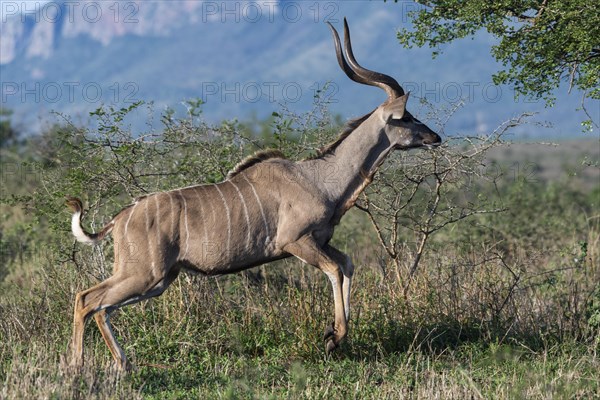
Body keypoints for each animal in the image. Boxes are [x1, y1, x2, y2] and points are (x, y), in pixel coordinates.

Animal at [67, 18, 440, 368]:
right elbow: (335, 269)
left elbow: (347, 264)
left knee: (100, 306)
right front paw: (334, 337)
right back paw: (80, 366)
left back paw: (115, 364)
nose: (435, 137)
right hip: (145, 273)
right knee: (87, 299)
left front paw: (334, 333)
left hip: (158, 279)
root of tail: (120, 218)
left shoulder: (321, 241)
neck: (320, 178)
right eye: (406, 117)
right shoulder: (296, 241)